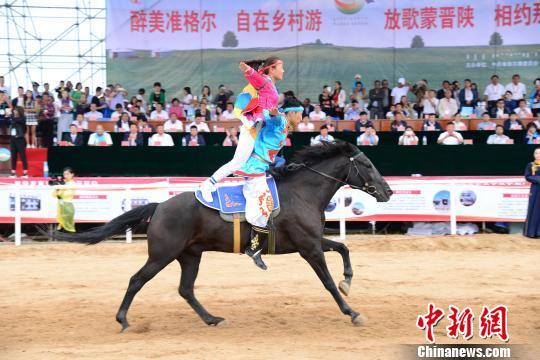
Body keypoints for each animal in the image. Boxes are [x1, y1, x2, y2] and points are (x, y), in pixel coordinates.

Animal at [47, 140, 392, 330]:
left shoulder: (311, 241)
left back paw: (212, 318)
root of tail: (160, 206)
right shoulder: (309, 248)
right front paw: (352, 311)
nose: (388, 190)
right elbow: (328, 282)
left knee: (185, 290)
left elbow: (343, 249)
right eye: (367, 164)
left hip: (189, 256)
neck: (302, 193)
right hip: (163, 254)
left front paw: (349, 282)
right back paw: (122, 319)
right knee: (136, 280)